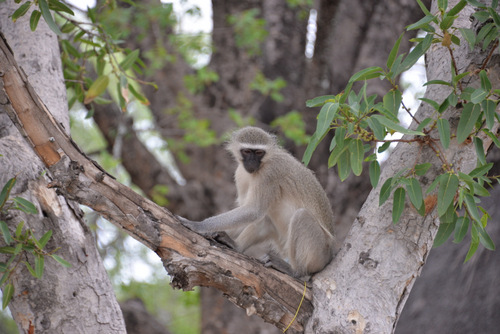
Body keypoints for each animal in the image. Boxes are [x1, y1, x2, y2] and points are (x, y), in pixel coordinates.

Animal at [178, 126, 334, 278]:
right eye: (247, 151)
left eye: (259, 152)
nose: (252, 163)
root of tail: (330, 256)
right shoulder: (240, 173)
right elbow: (250, 213)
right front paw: (214, 233)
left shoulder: (269, 173)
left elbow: (253, 211)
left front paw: (198, 225)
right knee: (265, 220)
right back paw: (236, 245)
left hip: (320, 253)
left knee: (301, 216)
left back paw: (295, 271)